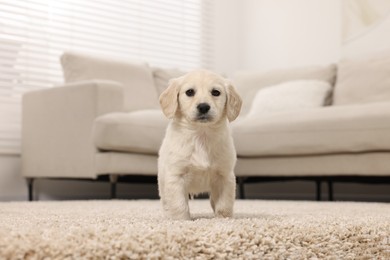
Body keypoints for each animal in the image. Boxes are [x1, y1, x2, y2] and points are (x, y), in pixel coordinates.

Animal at [157, 69, 242, 219]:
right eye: (190, 92)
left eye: (216, 92)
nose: (203, 107)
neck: (201, 135)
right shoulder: (176, 176)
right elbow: (179, 204)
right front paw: (181, 220)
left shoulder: (225, 176)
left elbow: (224, 204)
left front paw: (223, 219)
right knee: (166, 201)